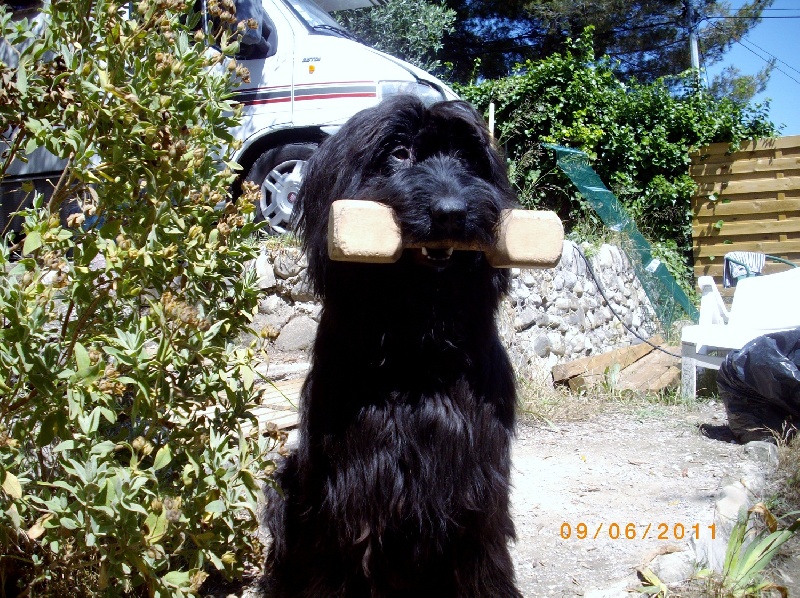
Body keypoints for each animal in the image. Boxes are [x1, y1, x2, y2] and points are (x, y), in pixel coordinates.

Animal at [261, 95, 522, 597]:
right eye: (399, 153)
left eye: (468, 158)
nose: (451, 212)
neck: (418, 343)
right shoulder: (353, 477)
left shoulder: (479, 475)